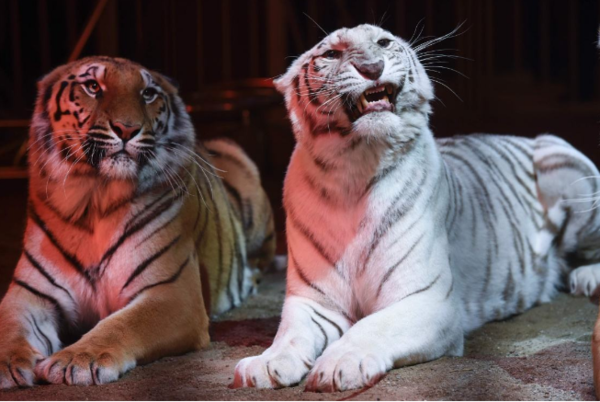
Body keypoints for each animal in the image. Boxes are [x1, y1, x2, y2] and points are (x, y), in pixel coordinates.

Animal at [233, 23, 600, 392]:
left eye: (383, 42)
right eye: (331, 54)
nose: (371, 67)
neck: (354, 171)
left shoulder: (428, 298)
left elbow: (371, 325)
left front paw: (338, 363)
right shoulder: (313, 301)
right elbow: (290, 333)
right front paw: (266, 363)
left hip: (561, 165)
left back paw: (586, 278)